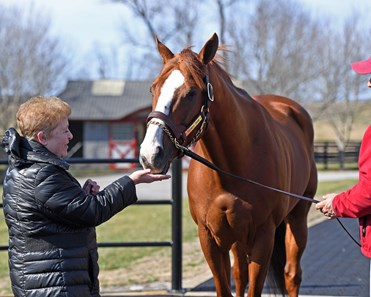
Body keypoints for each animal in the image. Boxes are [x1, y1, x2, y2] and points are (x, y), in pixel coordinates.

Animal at [141, 33, 318, 294]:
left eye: (191, 92)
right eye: (153, 88)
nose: (150, 154)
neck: (230, 169)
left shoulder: (263, 237)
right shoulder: (210, 238)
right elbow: (227, 286)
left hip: (297, 217)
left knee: (292, 275)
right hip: (237, 239)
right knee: (240, 274)